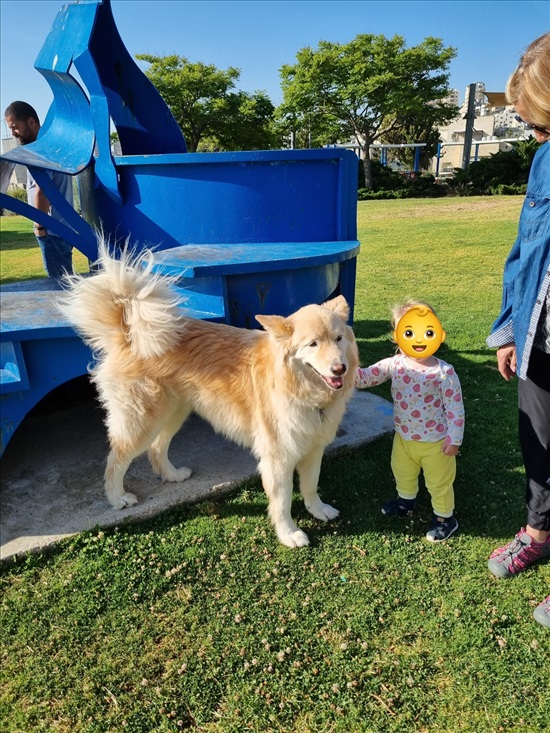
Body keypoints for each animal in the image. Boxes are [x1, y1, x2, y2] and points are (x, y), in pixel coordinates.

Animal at [60, 243, 360, 548]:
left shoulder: (313, 448)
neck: (303, 389)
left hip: (174, 413)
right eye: (312, 344)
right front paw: (289, 534)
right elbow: (283, 502)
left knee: (156, 448)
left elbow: (311, 486)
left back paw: (172, 475)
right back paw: (117, 497)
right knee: (116, 460)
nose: (340, 368)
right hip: (142, 422)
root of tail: (130, 335)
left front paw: (318, 510)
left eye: (338, 339)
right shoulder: (278, 458)